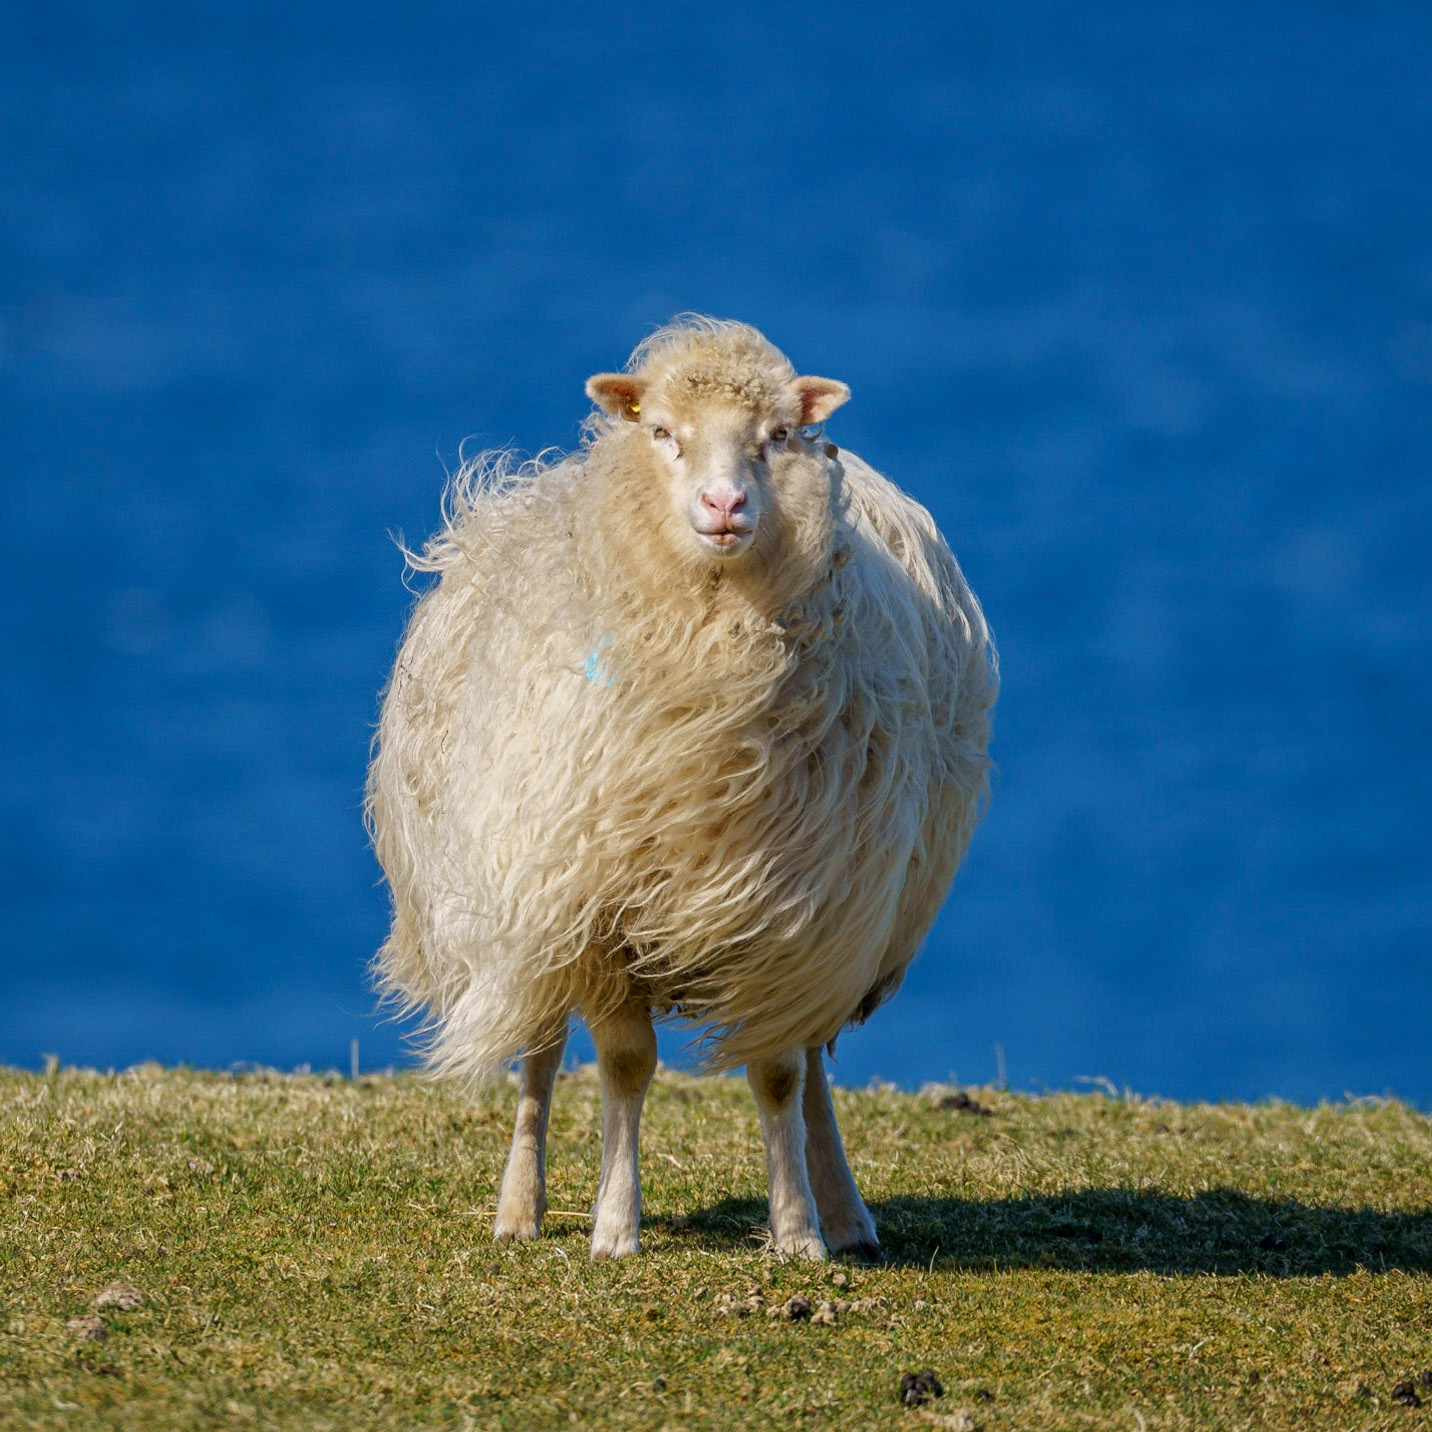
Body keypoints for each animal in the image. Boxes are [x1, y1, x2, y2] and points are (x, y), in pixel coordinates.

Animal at [367, 316, 997, 1261]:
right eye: (661, 431)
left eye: (780, 435)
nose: (724, 508)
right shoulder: (597, 911)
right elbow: (626, 1066)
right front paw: (615, 1227)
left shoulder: (791, 921)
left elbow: (779, 1075)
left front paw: (797, 1229)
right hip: (525, 900)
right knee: (538, 1054)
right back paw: (520, 1207)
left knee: (810, 1061)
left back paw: (845, 1212)